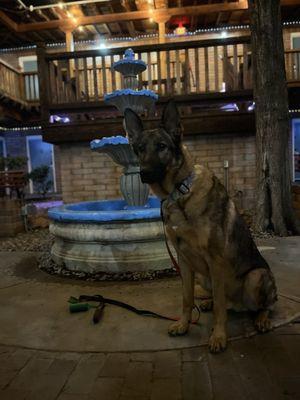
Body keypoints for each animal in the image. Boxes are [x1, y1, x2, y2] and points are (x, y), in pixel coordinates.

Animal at [123, 100, 276, 354]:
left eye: (162, 147)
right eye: (140, 148)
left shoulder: (215, 260)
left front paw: (219, 336)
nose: (144, 173)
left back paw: (261, 319)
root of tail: (240, 305)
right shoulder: (184, 261)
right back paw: (207, 302)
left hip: (255, 277)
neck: (179, 192)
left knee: (264, 305)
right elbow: (187, 299)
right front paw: (184, 324)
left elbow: (220, 310)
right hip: (204, 277)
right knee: (219, 298)